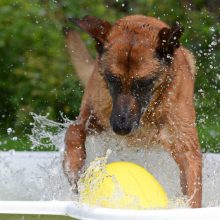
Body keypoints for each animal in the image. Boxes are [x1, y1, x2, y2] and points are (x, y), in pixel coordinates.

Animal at [62, 15, 202, 208]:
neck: (148, 113)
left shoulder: (186, 148)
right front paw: (73, 168)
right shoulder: (93, 117)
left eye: (144, 83)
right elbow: (73, 131)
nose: (121, 128)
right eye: (112, 80)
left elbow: (193, 188)